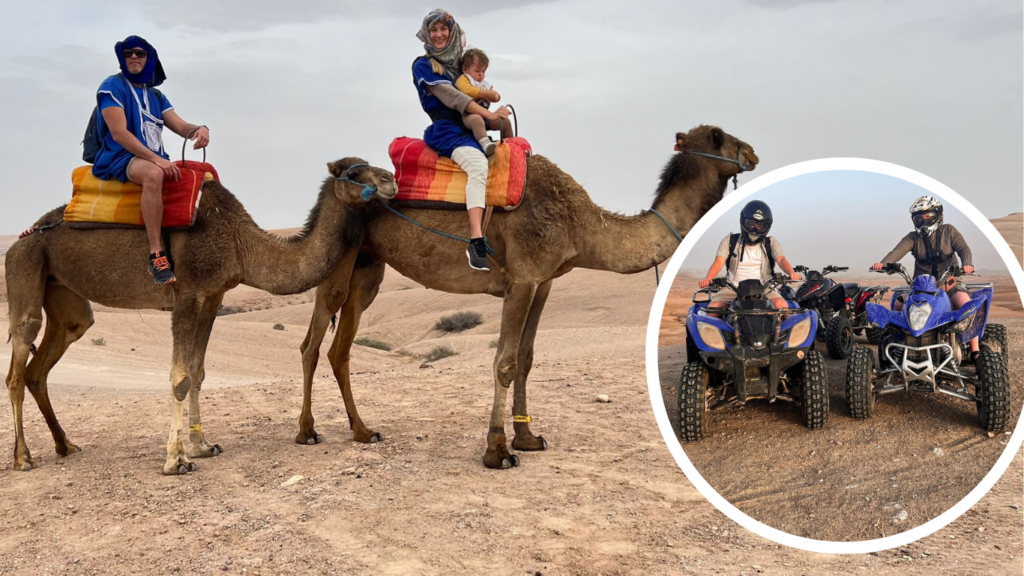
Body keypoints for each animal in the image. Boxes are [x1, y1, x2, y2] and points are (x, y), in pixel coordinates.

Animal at [4, 156, 395, 471]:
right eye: (354, 172)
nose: (391, 178)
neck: (239, 243)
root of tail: (23, 236)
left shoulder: (213, 296)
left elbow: (198, 371)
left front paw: (202, 446)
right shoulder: (187, 294)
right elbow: (180, 377)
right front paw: (176, 460)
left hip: (63, 293)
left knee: (47, 358)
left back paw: (65, 445)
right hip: (24, 268)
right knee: (18, 363)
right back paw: (23, 458)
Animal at [296, 124, 761, 467]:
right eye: (719, 136)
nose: (753, 152)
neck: (580, 224)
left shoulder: (544, 281)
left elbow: (526, 358)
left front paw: (527, 437)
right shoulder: (520, 279)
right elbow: (503, 362)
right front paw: (497, 450)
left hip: (367, 268)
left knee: (338, 347)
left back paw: (361, 431)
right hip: (339, 257)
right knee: (314, 342)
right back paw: (307, 432)